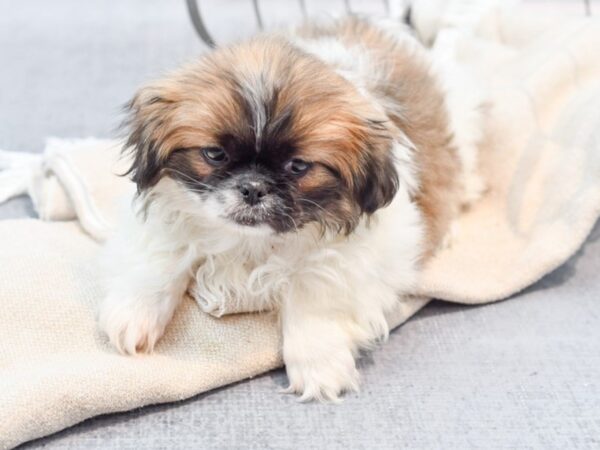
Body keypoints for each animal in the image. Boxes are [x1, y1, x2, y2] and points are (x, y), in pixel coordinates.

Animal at [97, 16, 482, 400]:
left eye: (298, 166)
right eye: (215, 154)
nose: (253, 188)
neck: (249, 243)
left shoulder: (360, 257)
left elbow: (312, 294)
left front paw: (318, 365)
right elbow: (162, 257)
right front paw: (134, 314)